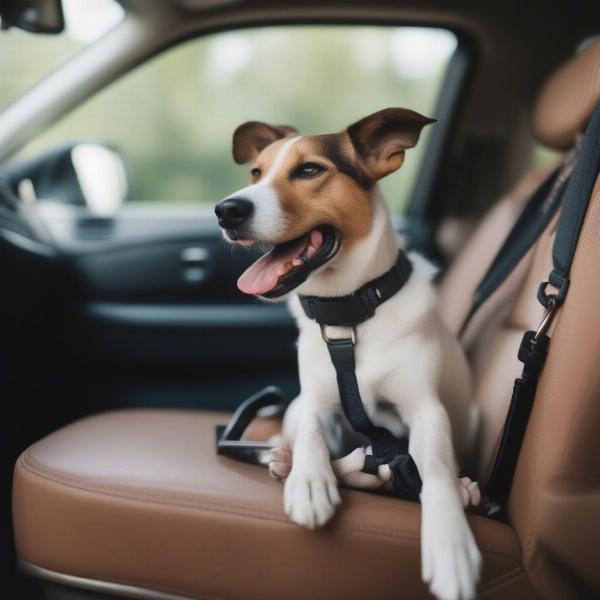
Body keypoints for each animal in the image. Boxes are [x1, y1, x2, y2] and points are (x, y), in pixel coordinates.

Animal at [216, 109, 482, 600]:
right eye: (256, 173)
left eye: (308, 170)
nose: (227, 210)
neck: (351, 313)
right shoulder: (317, 404)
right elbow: (312, 438)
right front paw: (309, 478)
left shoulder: (427, 411)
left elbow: (435, 471)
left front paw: (451, 544)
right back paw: (306, 463)